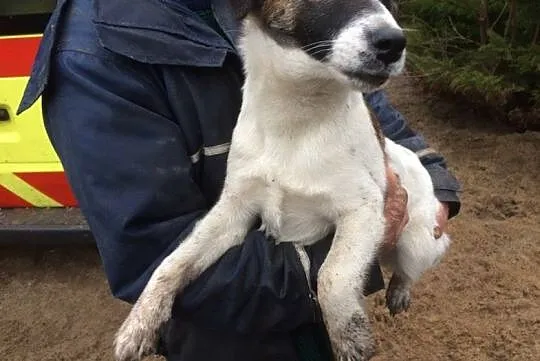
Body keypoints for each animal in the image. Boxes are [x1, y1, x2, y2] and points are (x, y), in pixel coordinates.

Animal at [115, 1, 452, 358]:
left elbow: (332, 275)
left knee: (409, 267)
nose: (395, 43)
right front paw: (140, 322)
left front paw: (349, 336)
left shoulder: (364, 209)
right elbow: (171, 262)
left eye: (392, 4)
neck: (296, 120)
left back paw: (400, 289)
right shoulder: (233, 211)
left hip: (418, 241)